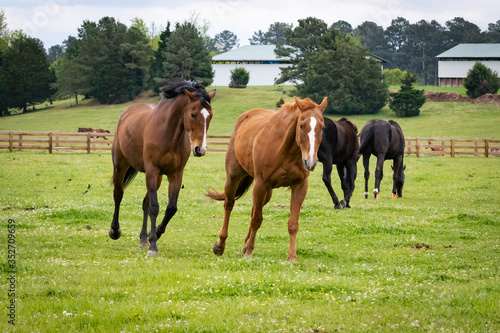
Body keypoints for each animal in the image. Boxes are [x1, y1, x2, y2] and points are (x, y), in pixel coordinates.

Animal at [109, 80, 215, 254]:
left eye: (210, 116)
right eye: (193, 114)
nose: (200, 149)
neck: (169, 135)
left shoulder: (175, 174)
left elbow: (170, 208)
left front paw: (156, 233)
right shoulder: (152, 170)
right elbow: (155, 207)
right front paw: (153, 245)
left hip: (157, 177)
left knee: (145, 202)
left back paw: (143, 239)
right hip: (121, 166)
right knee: (118, 195)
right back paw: (115, 231)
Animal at [205, 96, 326, 262]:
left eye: (322, 127)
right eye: (301, 126)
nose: (310, 162)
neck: (285, 149)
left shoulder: (300, 185)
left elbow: (293, 223)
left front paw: (292, 256)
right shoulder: (261, 184)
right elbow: (257, 219)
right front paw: (249, 251)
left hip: (267, 192)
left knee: (254, 209)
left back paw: (244, 244)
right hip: (234, 178)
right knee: (229, 205)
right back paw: (220, 245)